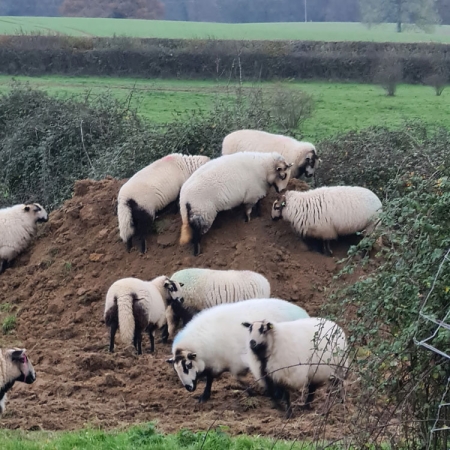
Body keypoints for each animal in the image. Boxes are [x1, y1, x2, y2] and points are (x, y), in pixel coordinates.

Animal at [165, 298, 310, 404]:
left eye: (188, 365)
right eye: (175, 370)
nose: (189, 388)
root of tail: (303, 312)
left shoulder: (235, 361)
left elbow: (238, 378)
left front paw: (252, 392)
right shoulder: (214, 363)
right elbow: (210, 379)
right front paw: (204, 396)